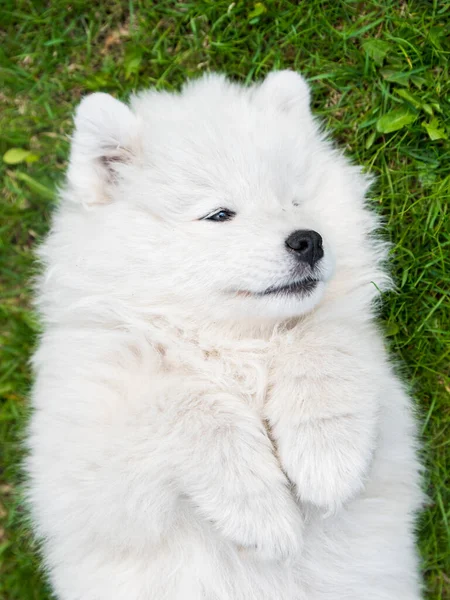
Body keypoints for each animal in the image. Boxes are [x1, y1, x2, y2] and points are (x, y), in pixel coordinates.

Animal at [26, 71, 424, 600]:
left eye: (294, 201)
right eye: (219, 215)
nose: (309, 240)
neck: (233, 343)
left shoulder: (388, 407)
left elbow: (320, 341)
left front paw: (326, 460)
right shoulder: (90, 466)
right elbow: (190, 408)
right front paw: (263, 513)